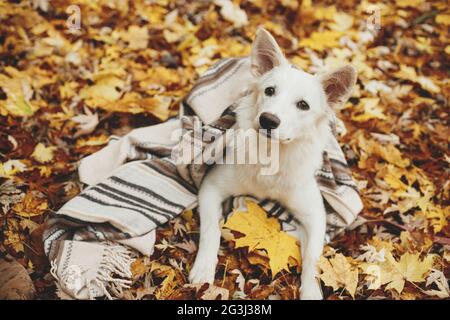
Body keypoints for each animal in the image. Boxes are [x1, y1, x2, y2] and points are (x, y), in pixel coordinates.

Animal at [188, 28, 356, 300]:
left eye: (303, 105)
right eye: (269, 91)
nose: (268, 120)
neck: (271, 155)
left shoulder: (315, 215)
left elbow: (313, 258)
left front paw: (311, 291)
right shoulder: (210, 187)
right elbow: (210, 230)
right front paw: (203, 268)